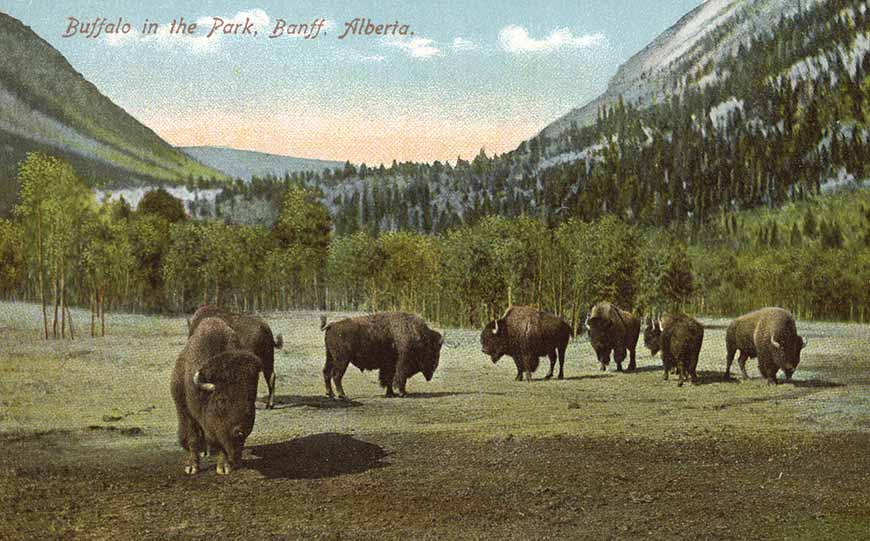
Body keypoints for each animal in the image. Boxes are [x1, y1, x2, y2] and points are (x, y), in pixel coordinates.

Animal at [171, 318, 262, 474]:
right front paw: (192, 467)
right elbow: (192, 438)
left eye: (250, 400)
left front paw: (224, 467)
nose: (239, 432)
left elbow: (221, 445)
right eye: (221, 400)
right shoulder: (187, 412)